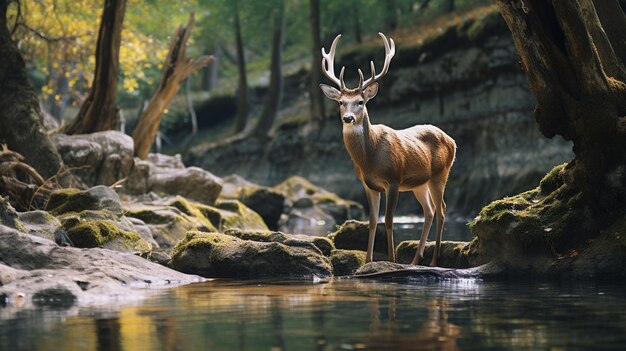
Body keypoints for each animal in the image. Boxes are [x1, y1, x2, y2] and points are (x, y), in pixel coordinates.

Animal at [316, 34, 454, 268]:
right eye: (341, 102)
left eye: (361, 102)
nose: (348, 118)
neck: (370, 160)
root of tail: (452, 140)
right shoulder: (368, 185)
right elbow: (372, 221)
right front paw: (368, 261)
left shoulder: (394, 179)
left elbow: (389, 220)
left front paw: (391, 259)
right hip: (420, 183)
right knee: (429, 211)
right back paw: (415, 260)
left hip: (440, 174)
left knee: (442, 210)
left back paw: (434, 260)